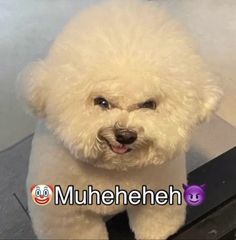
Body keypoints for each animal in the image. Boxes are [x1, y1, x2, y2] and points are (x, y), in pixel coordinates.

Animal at [18, 0, 221, 239]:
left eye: (148, 104)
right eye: (101, 102)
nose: (124, 135)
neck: (115, 169)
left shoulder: (159, 189)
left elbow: (156, 216)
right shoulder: (65, 212)